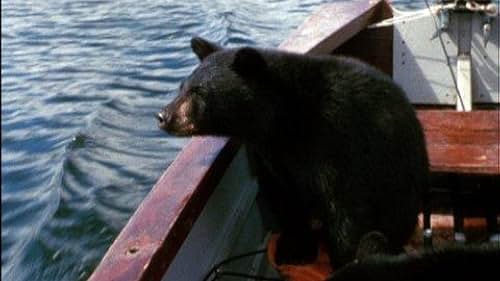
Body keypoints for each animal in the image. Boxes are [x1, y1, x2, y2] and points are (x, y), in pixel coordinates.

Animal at [157, 37, 430, 266]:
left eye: (199, 91)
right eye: (182, 87)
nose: (163, 115)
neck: (286, 120)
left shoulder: (340, 142)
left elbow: (348, 207)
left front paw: (343, 259)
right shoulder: (274, 158)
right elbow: (286, 199)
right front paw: (294, 250)